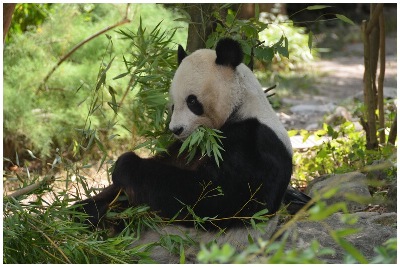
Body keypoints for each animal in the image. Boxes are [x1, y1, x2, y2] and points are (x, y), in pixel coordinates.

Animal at [76, 38, 312, 262]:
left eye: (192, 101)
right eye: (173, 105)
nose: (176, 129)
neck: (242, 107)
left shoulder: (257, 144)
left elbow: (212, 196)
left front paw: (126, 164)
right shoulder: (187, 147)